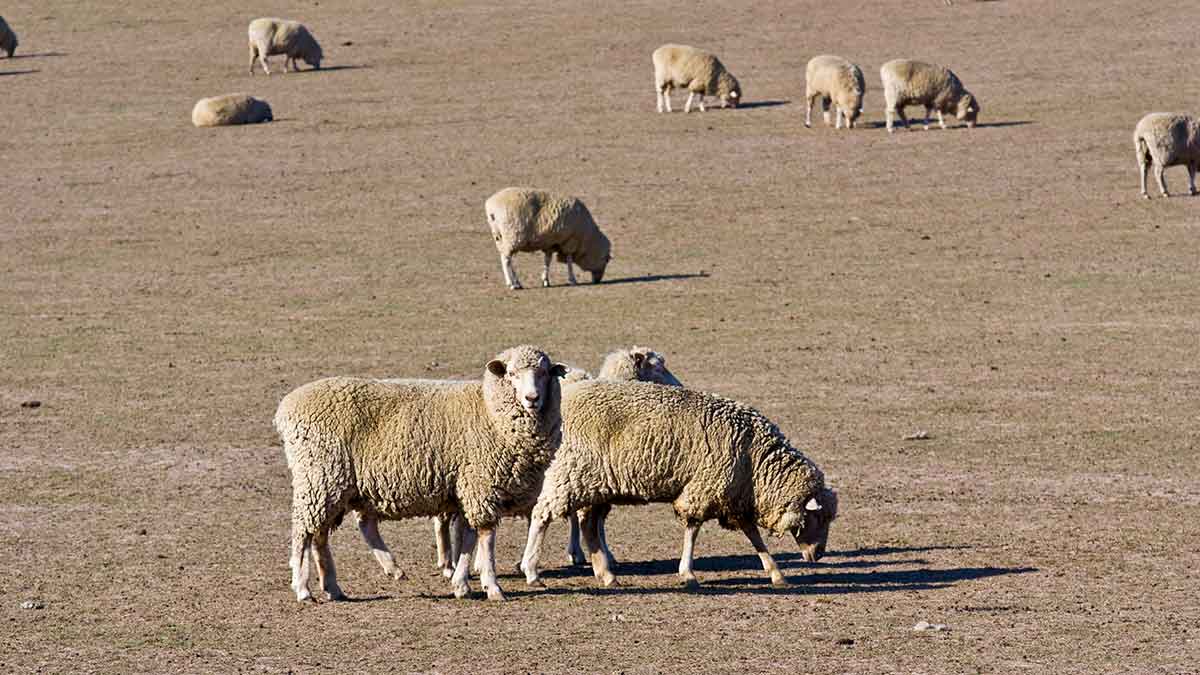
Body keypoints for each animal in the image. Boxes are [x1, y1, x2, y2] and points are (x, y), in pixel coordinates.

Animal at [275, 345, 568, 602]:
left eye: (544, 373)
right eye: (512, 374)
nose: (532, 399)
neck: (488, 410)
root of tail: (285, 408)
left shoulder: (466, 486)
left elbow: (467, 538)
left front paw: (462, 584)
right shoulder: (481, 484)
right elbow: (485, 537)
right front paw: (492, 586)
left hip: (330, 484)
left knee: (321, 534)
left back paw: (335, 587)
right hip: (319, 477)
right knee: (303, 533)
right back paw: (303, 589)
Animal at [519, 380, 838, 589]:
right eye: (817, 517)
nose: (819, 554)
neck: (756, 460)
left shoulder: (734, 496)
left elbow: (754, 537)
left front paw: (775, 572)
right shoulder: (705, 488)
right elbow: (692, 530)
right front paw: (687, 573)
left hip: (597, 484)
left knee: (588, 525)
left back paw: (607, 575)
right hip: (571, 472)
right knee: (542, 515)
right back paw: (531, 570)